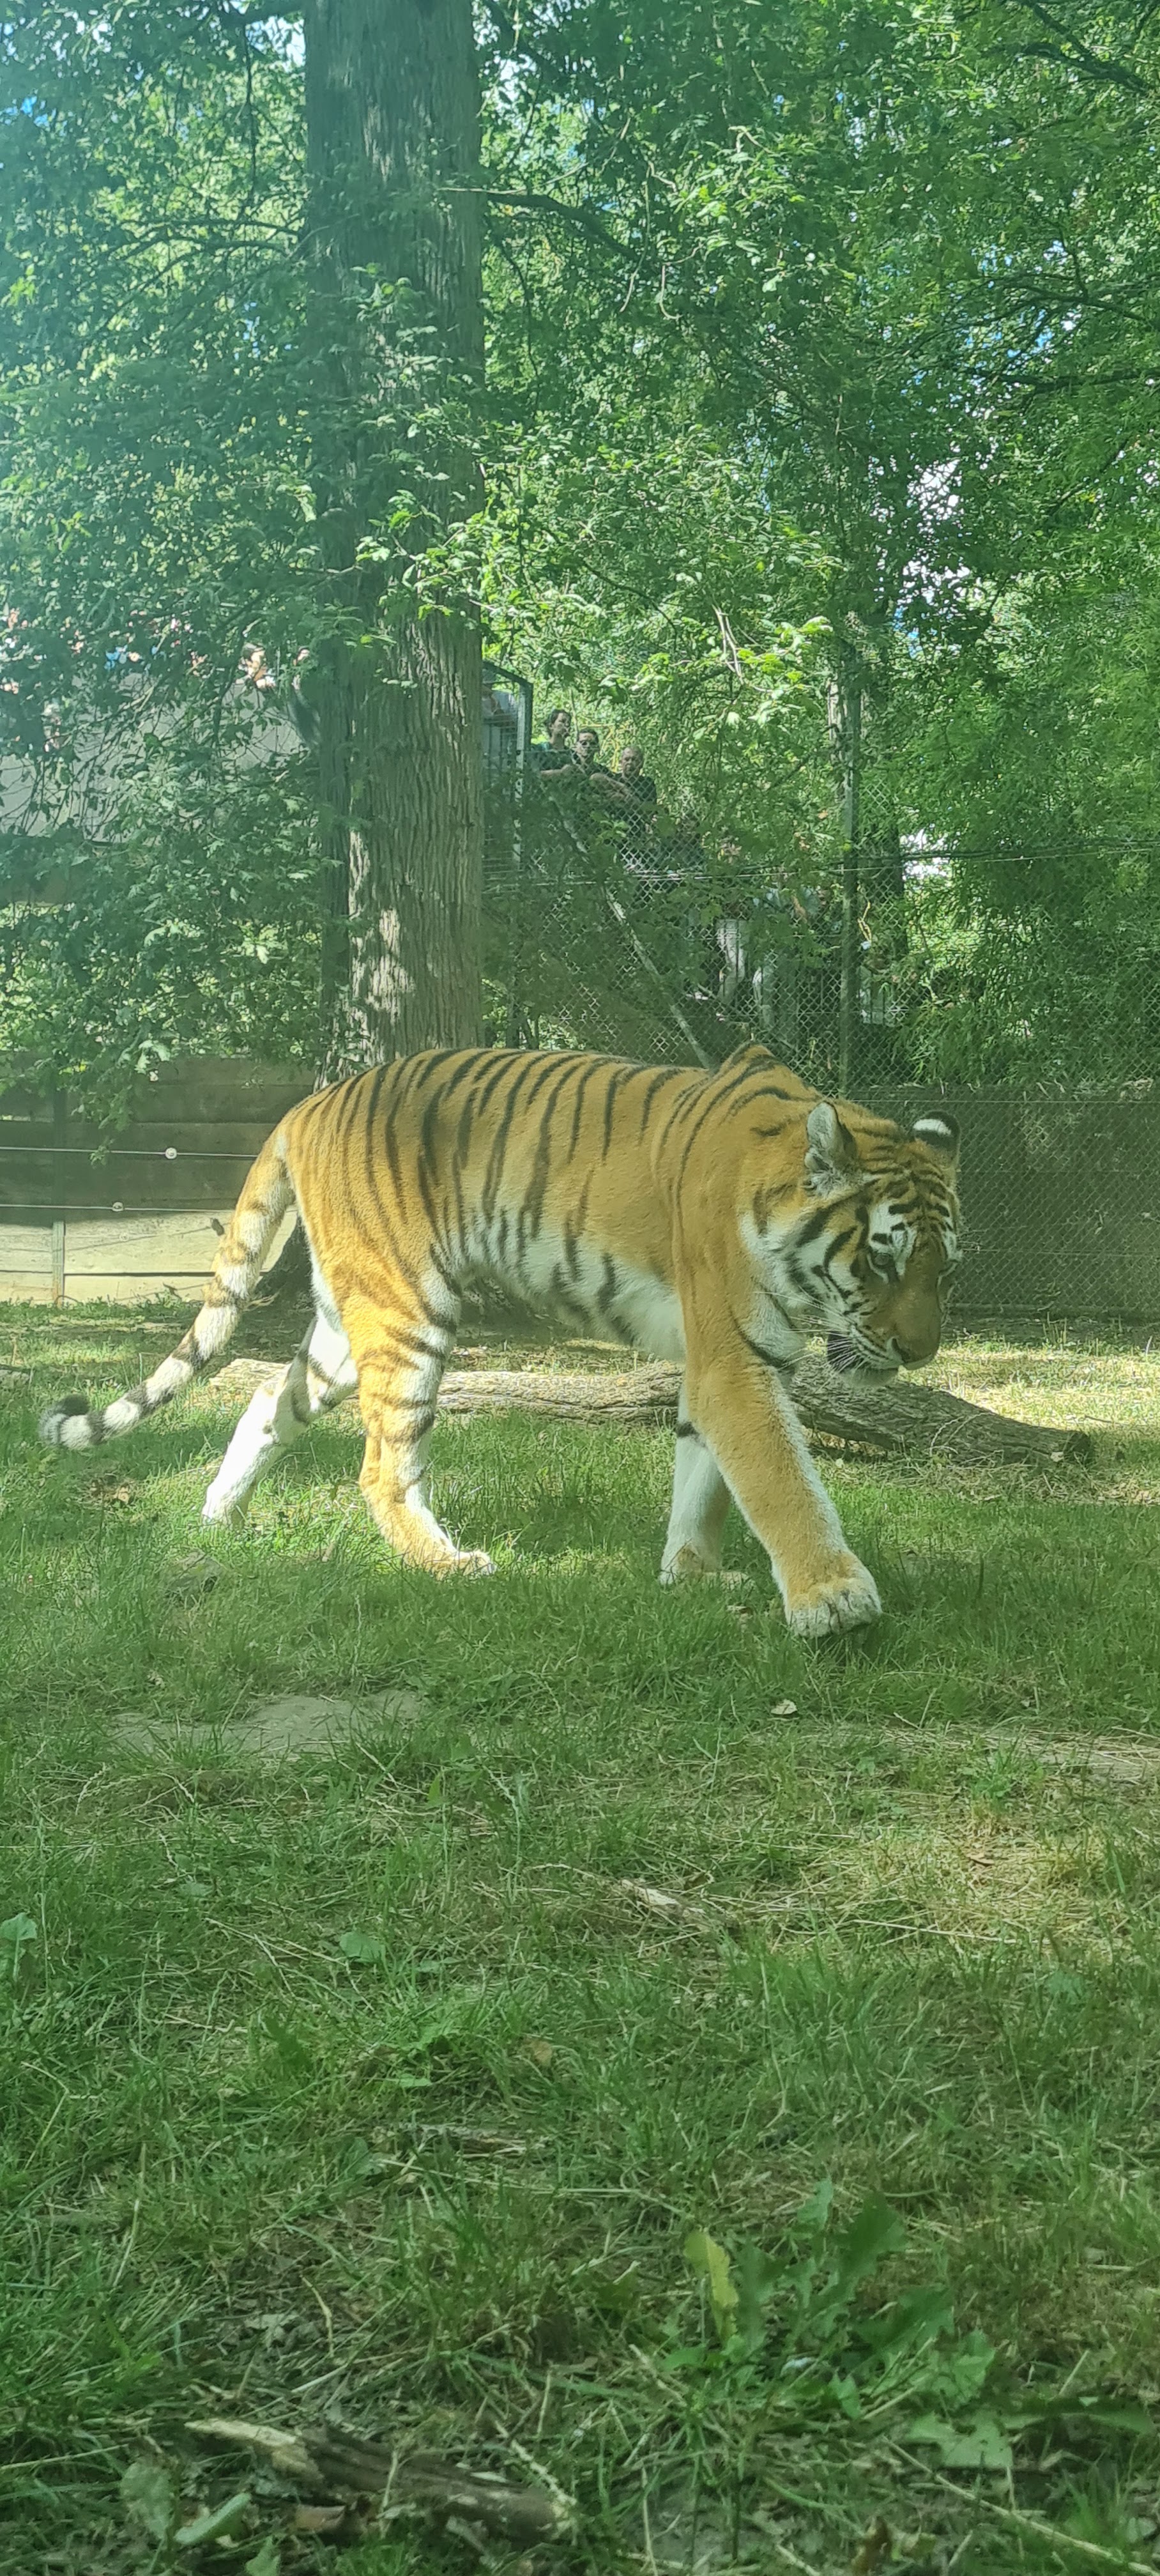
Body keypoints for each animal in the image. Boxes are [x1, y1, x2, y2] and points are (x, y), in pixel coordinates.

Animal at [39, 1044, 961, 1635]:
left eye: (944, 1267)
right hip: (407, 1312)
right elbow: (780, 1481)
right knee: (380, 1468)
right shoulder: (735, 1359)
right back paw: (448, 1565)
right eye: (882, 1258)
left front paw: (692, 1575)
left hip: (348, 1321)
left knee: (271, 1393)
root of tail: (310, 1102)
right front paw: (832, 1601)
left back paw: (219, 1514)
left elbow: (705, 1479)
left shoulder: (720, 1360)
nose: (919, 1354)